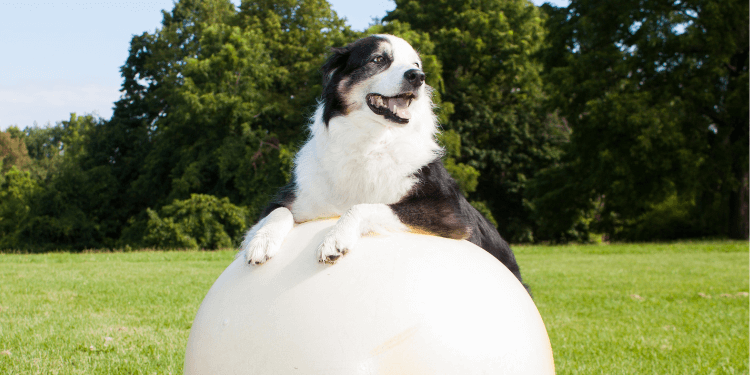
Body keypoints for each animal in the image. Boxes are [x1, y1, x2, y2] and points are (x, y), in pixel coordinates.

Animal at [238, 34, 524, 288]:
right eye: (379, 59)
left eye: (416, 64)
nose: (417, 77)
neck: (372, 142)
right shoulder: (293, 197)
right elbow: (278, 211)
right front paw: (261, 242)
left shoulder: (450, 213)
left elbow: (366, 206)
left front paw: (336, 238)